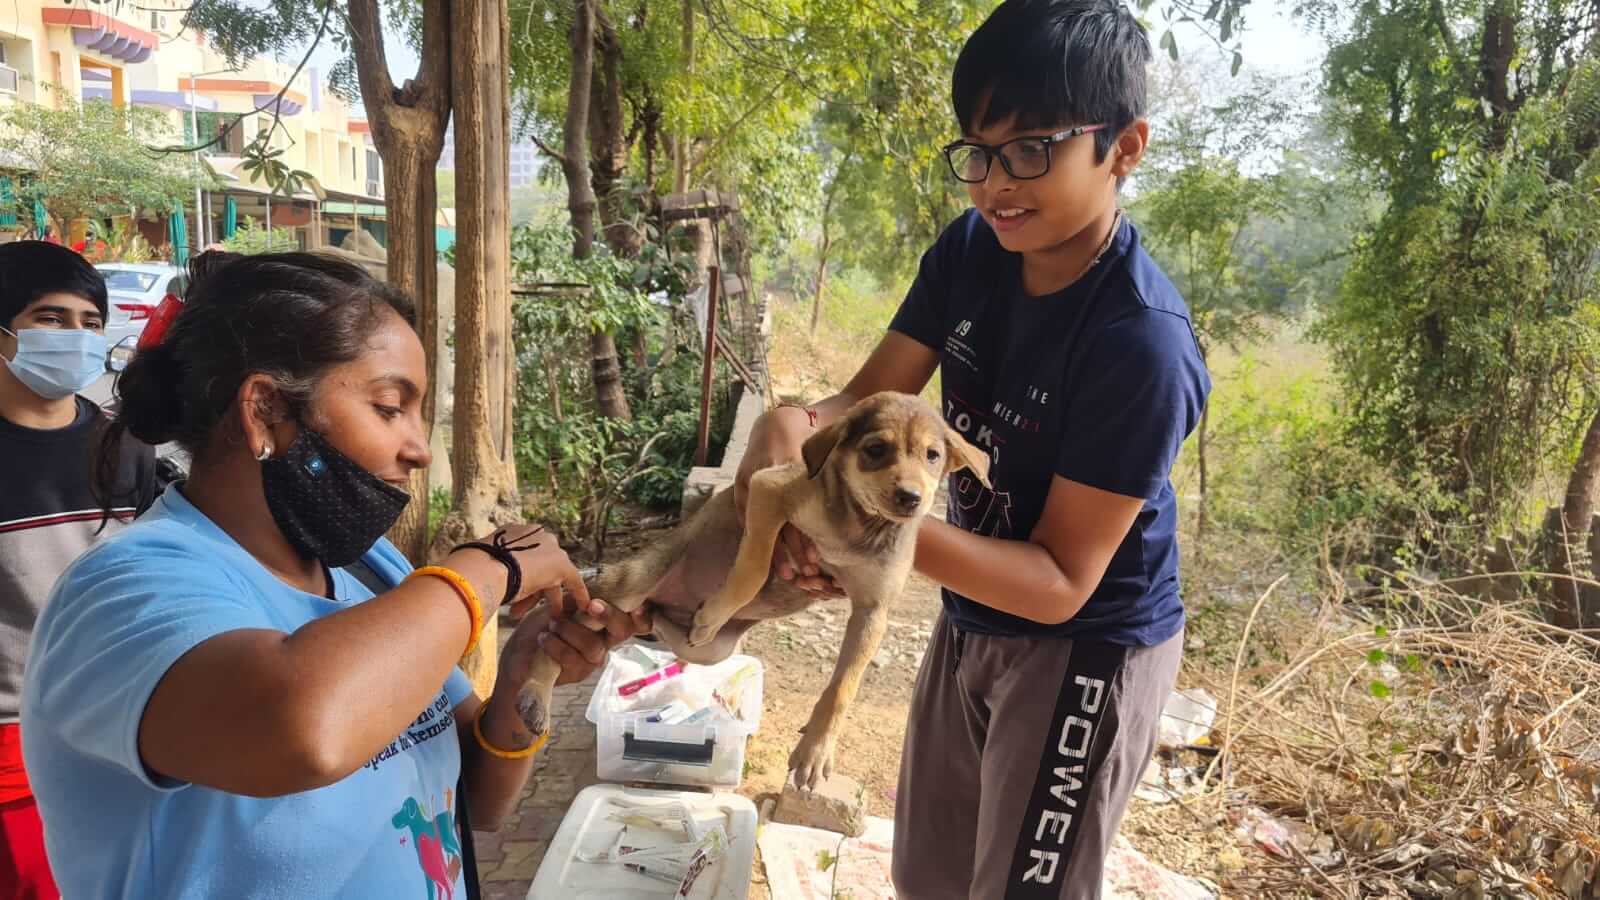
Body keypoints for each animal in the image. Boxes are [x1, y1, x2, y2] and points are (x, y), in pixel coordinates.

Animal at [515, 392, 985, 784]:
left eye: (932, 456)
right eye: (875, 450)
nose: (911, 498)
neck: (859, 526)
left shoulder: (874, 611)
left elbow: (842, 689)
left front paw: (815, 749)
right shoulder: (768, 490)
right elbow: (755, 566)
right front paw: (715, 611)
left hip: (701, 649)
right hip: (628, 583)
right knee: (549, 635)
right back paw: (535, 695)